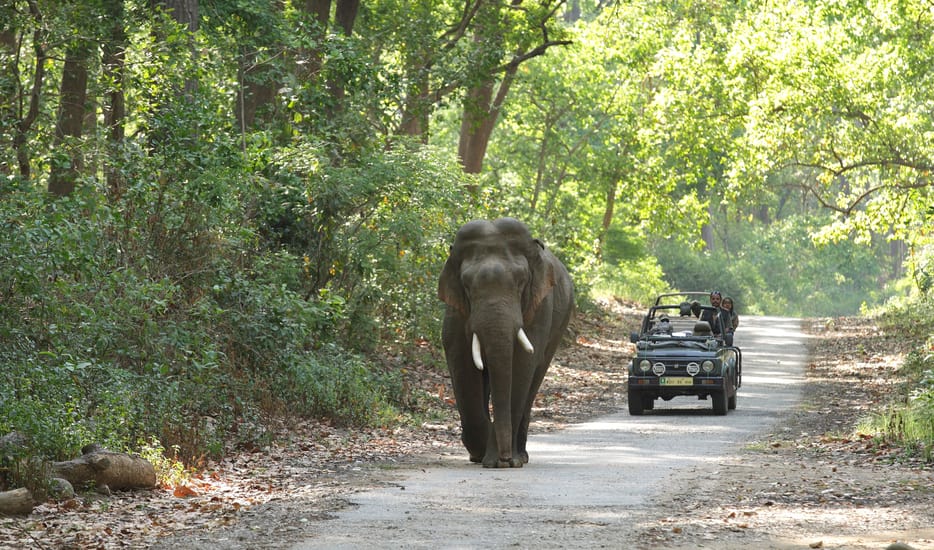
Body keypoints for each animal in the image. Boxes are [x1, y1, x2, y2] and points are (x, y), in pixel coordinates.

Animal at [440, 218, 576, 468]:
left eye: (522, 282)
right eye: (466, 285)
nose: (504, 459)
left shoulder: (539, 308)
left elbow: (522, 364)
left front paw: (502, 461)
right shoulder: (455, 310)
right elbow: (462, 362)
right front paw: (484, 453)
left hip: (559, 325)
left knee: (534, 380)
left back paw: (521, 455)